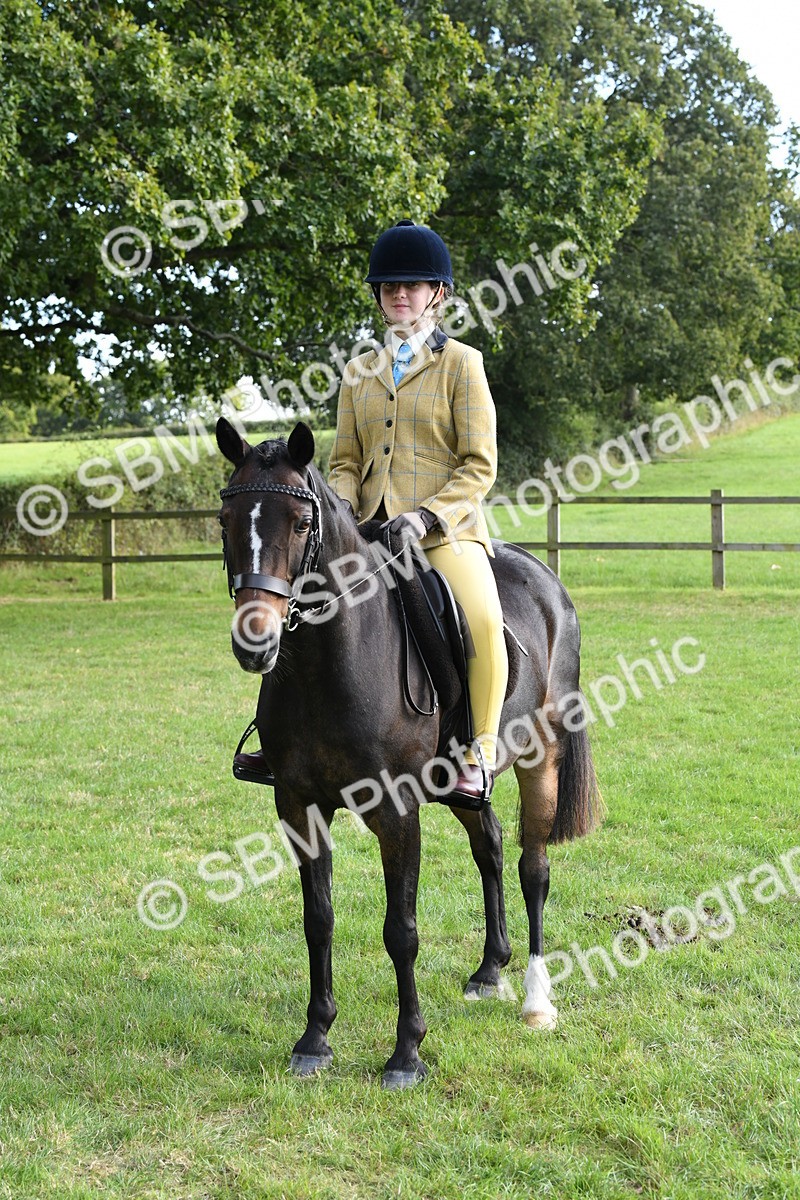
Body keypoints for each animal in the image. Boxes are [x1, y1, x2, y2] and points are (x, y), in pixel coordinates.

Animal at [215, 416, 602, 1089]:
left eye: (301, 523)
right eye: (225, 520)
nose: (254, 643)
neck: (328, 666)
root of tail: (545, 577)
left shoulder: (397, 813)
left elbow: (401, 931)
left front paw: (406, 1053)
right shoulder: (298, 806)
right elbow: (319, 919)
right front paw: (315, 1038)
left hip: (541, 761)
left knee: (533, 868)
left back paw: (535, 1000)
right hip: (463, 785)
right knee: (489, 845)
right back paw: (490, 969)